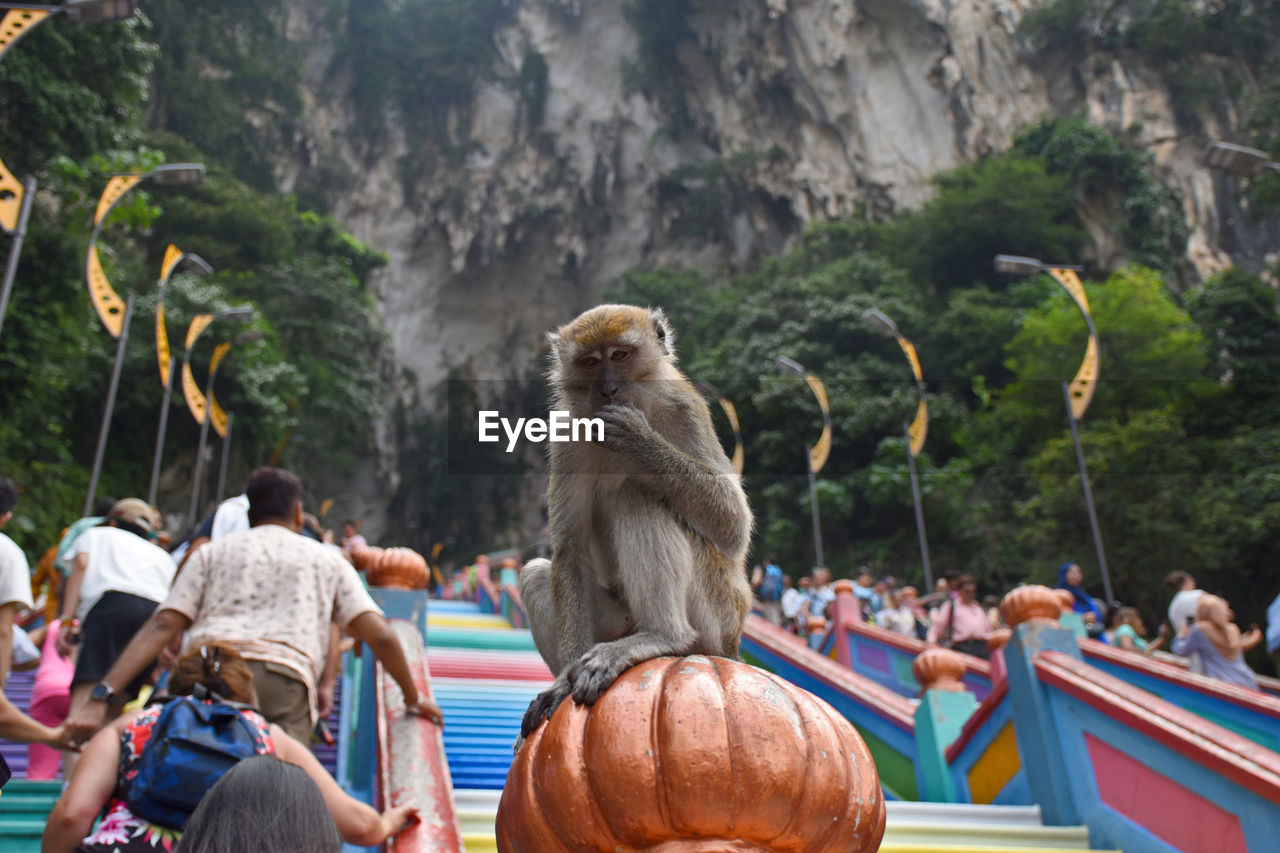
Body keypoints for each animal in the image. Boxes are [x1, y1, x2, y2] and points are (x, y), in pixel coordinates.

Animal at [514, 300, 747, 737]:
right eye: (590, 362)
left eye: (620, 355)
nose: (608, 389)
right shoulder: (567, 434)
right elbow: (569, 550)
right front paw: (561, 681)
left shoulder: (686, 409)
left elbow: (733, 524)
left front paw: (638, 439)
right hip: (619, 620)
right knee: (537, 572)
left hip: (716, 614)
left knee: (637, 496)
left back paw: (664, 636)